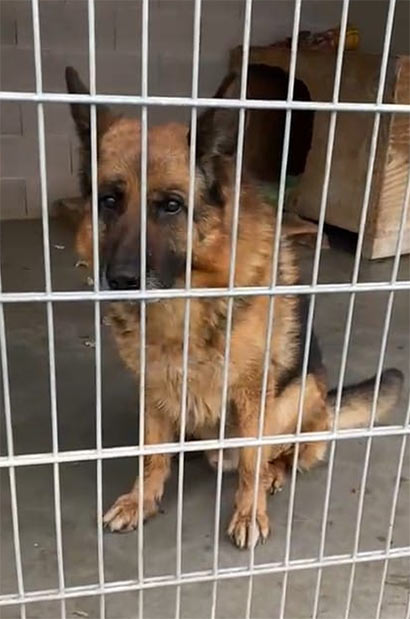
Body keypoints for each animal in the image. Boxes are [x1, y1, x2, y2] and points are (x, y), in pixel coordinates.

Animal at [65, 66, 403, 549]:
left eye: (171, 206)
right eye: (109, 200)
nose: (121, 281)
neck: (184, 301)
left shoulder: (250, 392)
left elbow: (250, 463)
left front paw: (249, 511)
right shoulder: (152, 387)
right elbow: (152, 455)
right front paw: (141, 499)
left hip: (294, 395)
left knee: (281, 454)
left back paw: (272, 475)